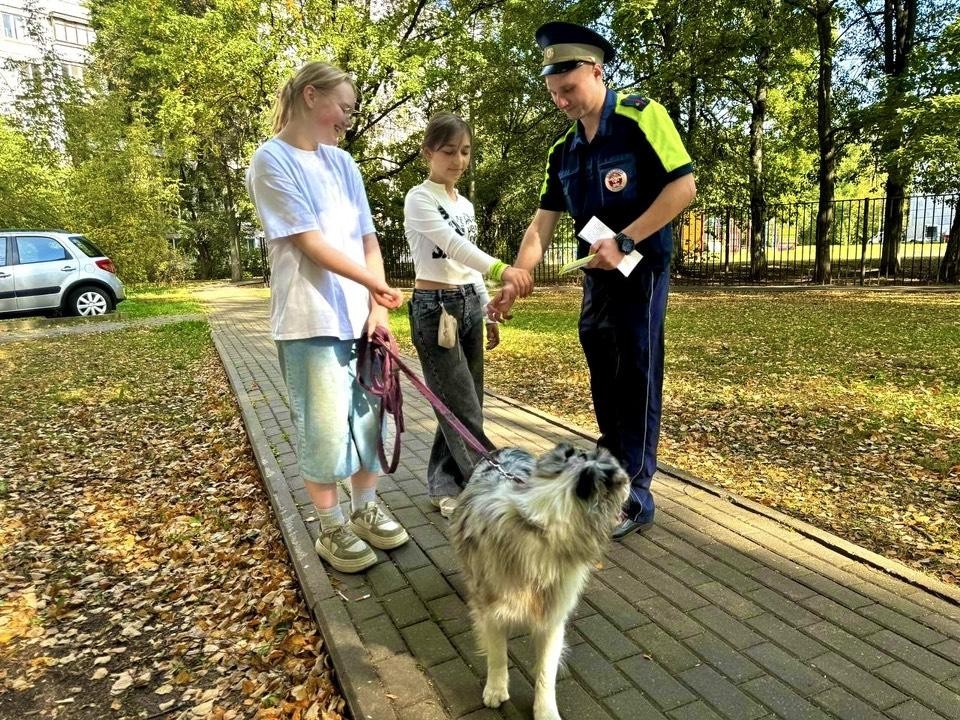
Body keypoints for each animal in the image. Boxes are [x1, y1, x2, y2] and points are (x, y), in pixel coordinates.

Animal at [450, 442, 632, 716]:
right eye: (621, 476)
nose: (632, 483)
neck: (540, 528)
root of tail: (503, 449)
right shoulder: (492, 609)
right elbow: (497, 654)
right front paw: (495, 689)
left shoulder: (553, 615)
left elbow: (546, 671)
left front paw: (545, 711)